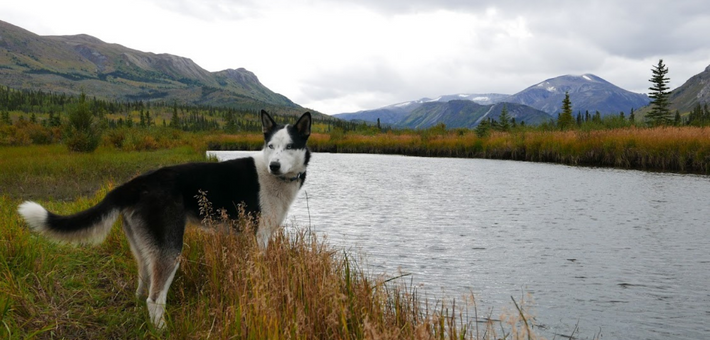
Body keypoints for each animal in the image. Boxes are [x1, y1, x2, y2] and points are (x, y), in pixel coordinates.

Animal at [16, 110, 312, 328]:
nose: (274, 165)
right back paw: (161, 330)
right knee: (155, 298)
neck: (275, 179)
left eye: (290, 147)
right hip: (170, 250)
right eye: (271, 146)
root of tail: (136, 184)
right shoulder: (260, 237)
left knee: (143, 286)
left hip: (145, 248)